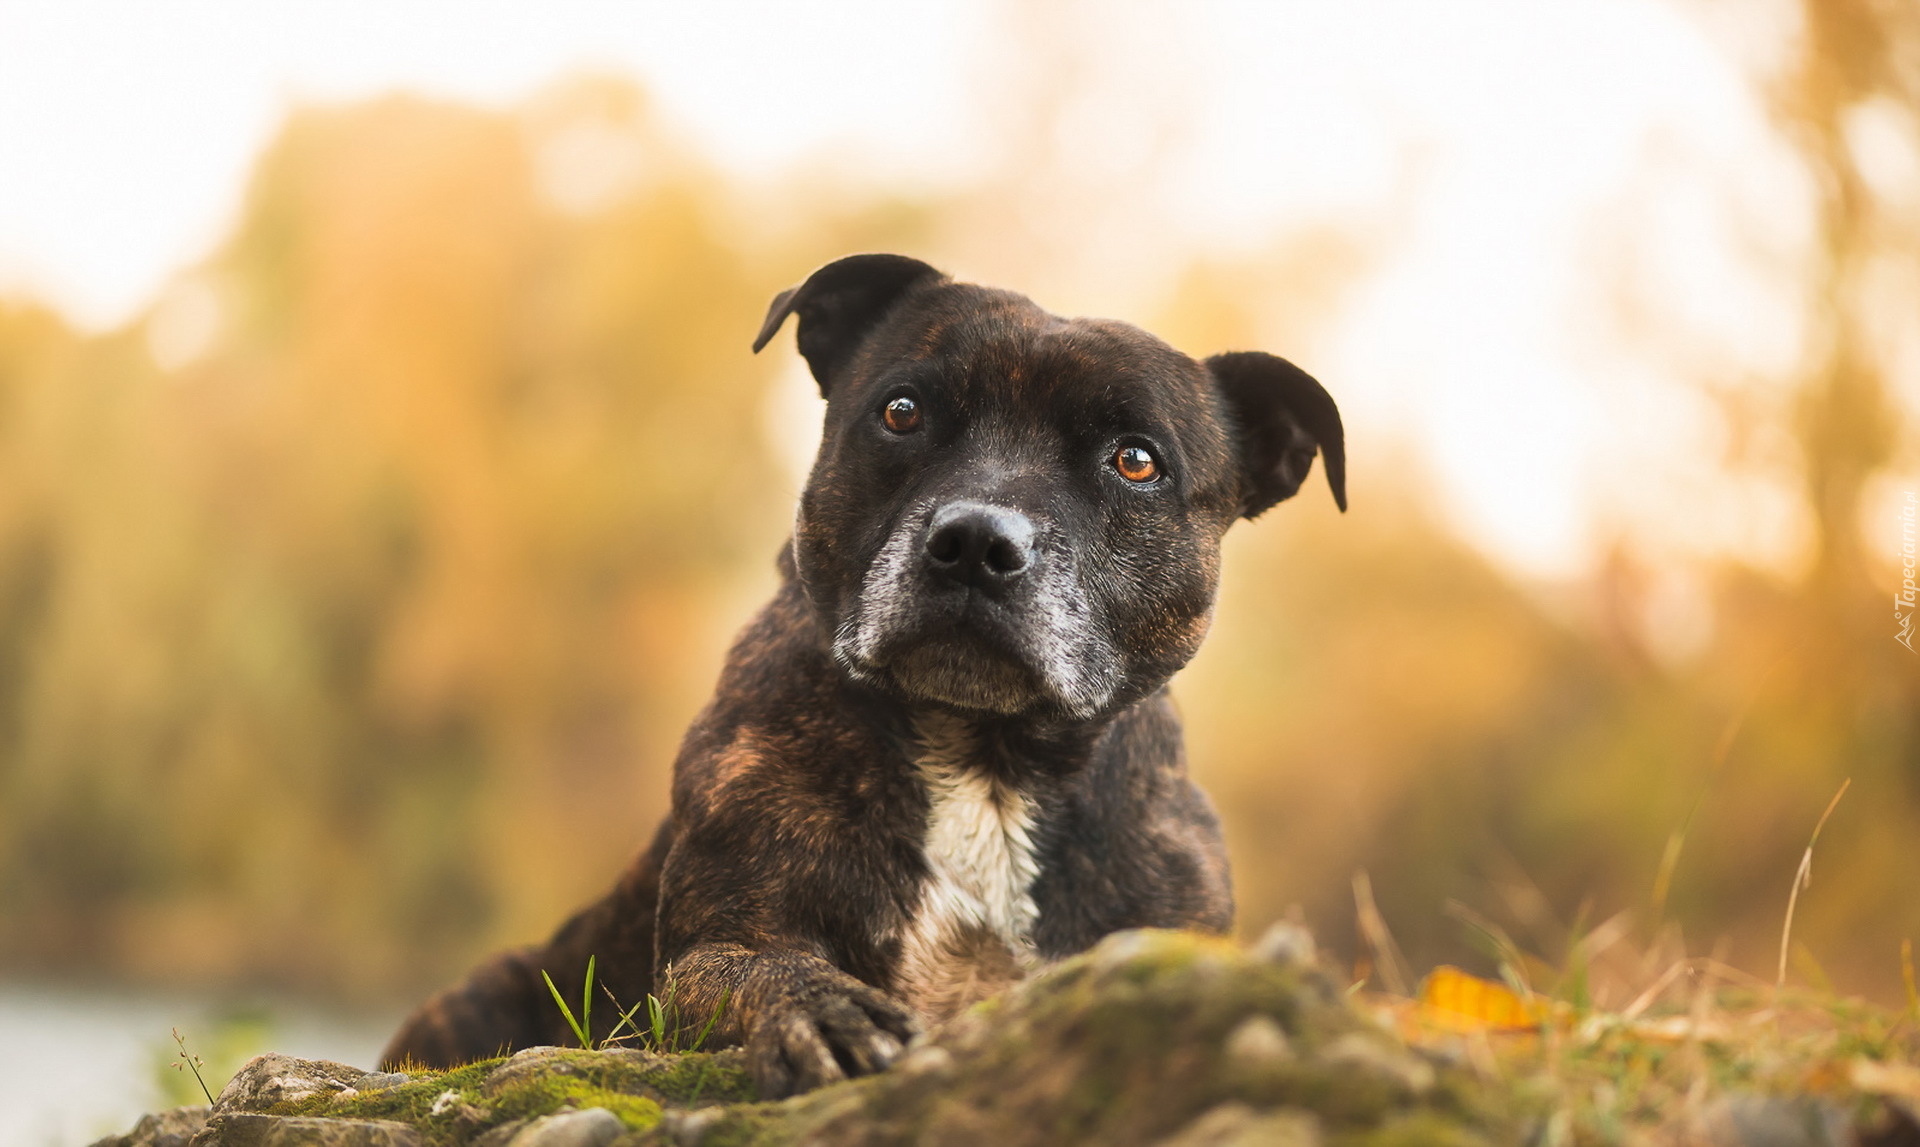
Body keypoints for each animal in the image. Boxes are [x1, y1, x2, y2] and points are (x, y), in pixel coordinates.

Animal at [382, 255, 1344, 1098]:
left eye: (1136, 460)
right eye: (903, 411)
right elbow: (752, 966)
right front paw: (823, 1010)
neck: (985, 759)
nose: (976, 541)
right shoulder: (715, 939)